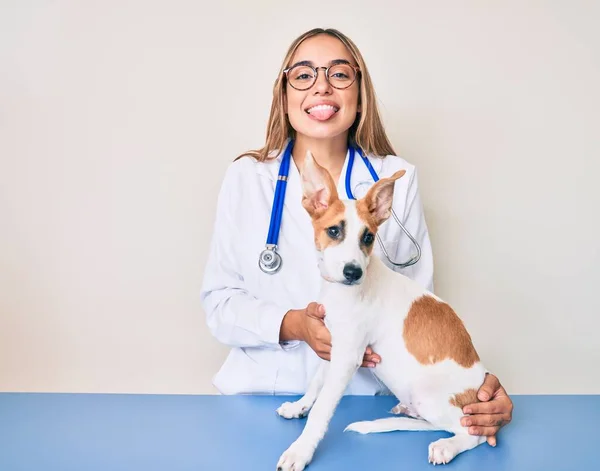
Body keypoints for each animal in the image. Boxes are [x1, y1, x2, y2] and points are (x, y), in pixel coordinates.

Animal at [274, 153, 490, 470]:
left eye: (368, 237)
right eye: (334, 231)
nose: (353, 272)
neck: (343, 292)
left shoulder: (348, 357)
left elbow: (321, 410)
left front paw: (300, 450)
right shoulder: (335, 345)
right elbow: (315, 382)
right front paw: (298, 406)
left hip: (431, 397)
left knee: (471, 431)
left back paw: (446, 446)